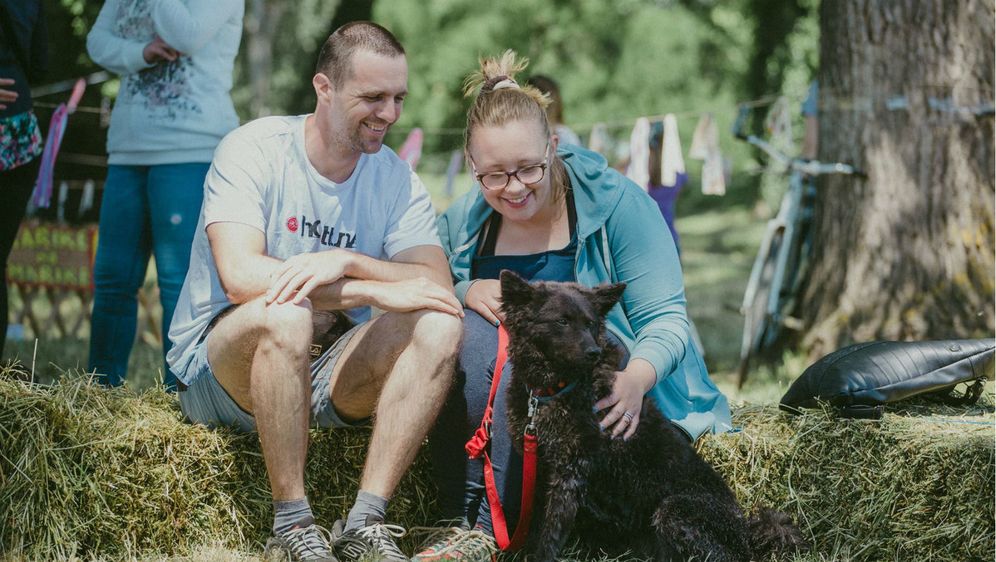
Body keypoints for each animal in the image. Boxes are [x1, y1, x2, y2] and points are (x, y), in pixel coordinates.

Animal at [498, 270, 808, 556]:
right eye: (562, 321)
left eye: (591, 324)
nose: (593, 352)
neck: (556, 390)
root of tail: (746, 534)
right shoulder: (542, 469)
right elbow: (535, 527)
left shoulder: (570, 473)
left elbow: (549, 536)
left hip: (674, 510)